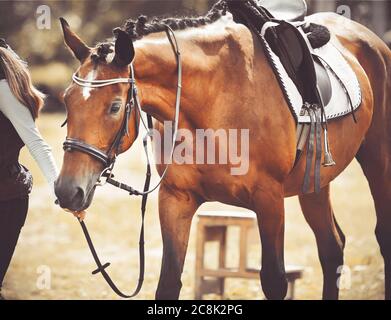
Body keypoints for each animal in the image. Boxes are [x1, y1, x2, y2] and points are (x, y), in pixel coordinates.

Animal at [54, 5, 391, 300]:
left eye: (114, 107)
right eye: (67, 100)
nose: (68, 190)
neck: (212, 97)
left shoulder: (269, 200)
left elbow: (274, 281)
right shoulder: (176, 199)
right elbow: (168, 283)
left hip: (378, 160)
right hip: (315, 182)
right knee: (332, 249)